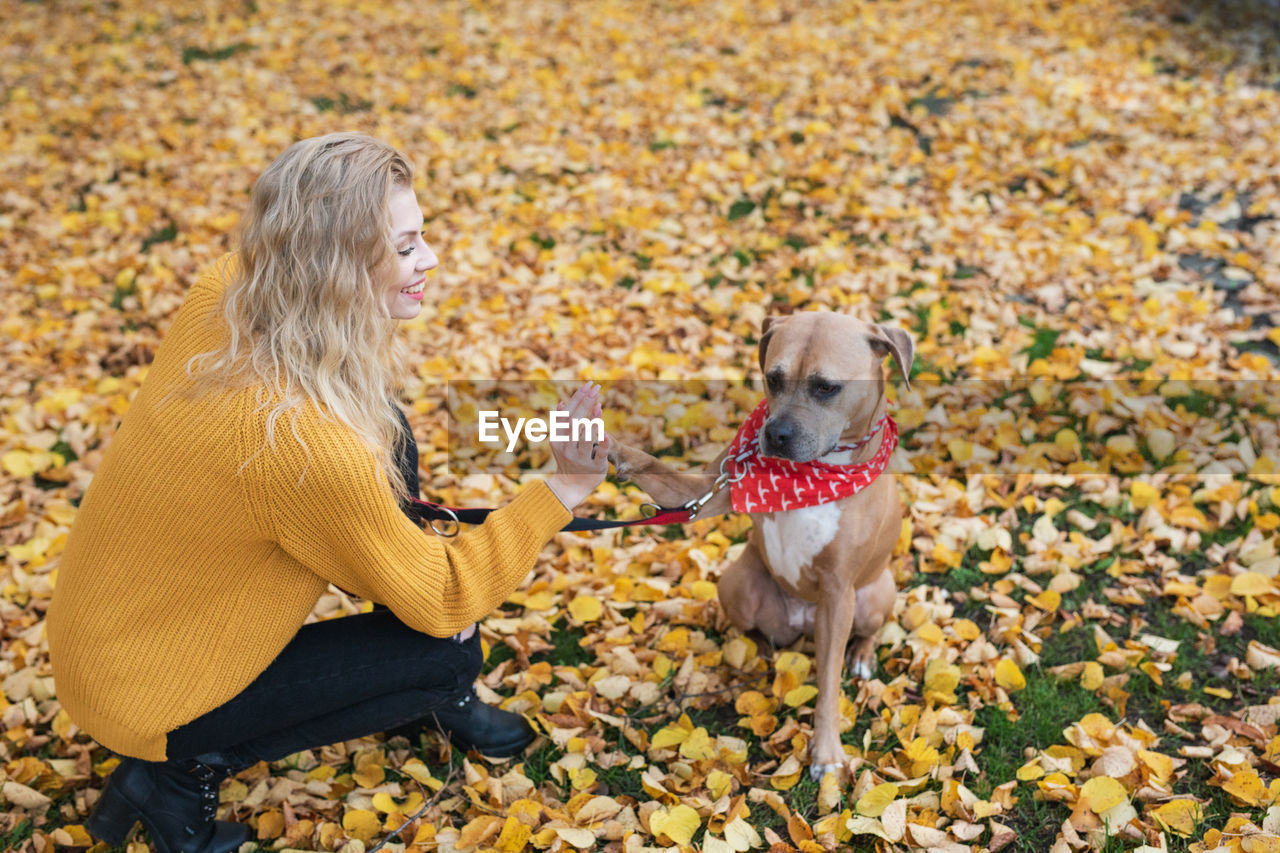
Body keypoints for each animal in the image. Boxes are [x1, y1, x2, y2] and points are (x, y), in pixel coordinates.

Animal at [606, 312, 911, 778]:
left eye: (827, 387)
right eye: (773, 378)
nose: (777, 434)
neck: (809, 475)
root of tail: (802, 623)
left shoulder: (838, 591)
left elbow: (828, 685)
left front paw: (826, 753)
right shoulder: (706, 489)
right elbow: (655, 467)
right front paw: (606, 444)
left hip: (875, 592)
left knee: (866, 632)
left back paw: (861, 655)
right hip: (737, 582)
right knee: (756, 629)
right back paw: (760, 654)